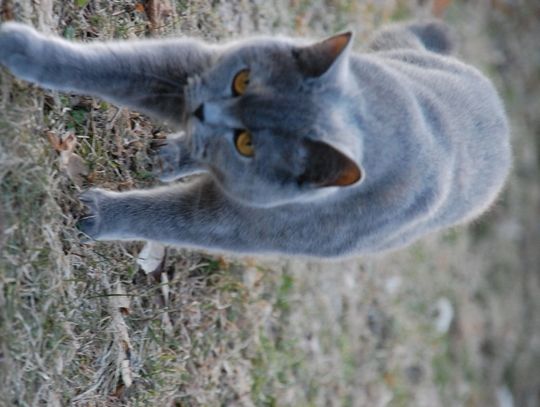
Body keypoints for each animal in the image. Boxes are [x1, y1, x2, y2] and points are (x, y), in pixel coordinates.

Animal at [0, 19, 510, 258]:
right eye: (242, 80)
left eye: (247, 143)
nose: (204, 111)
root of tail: (497, 107)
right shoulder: (192, 70)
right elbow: (117, 68)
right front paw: (20, 47)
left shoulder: (237, 223)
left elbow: (168, 219)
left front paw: (96, 214)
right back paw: (172, 153)